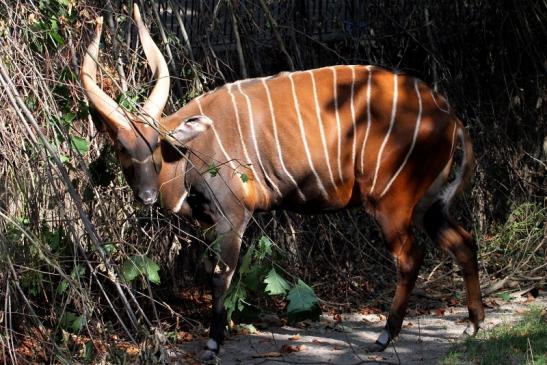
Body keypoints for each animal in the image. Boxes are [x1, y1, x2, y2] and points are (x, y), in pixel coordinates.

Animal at [81, 4, 484, 358]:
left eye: (153, 144)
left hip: (390, 202)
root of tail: (450, 116)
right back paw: (473, 324)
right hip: (427, 204)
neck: (186, 151)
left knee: (410, 256)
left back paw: (385, 336)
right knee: (464, 241)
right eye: (121, 147)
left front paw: (213, 343)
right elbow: (211, 272)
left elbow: (221, 276)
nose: (147, 196)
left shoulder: (232, 215)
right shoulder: (210, 223)